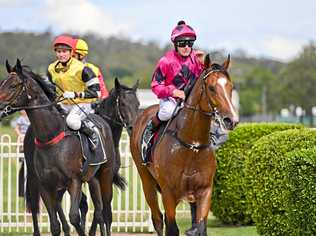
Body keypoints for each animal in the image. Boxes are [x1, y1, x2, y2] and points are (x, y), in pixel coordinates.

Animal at [0, 59, 123, 236]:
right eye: (1, 83)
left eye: (13, 85)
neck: (51, 137)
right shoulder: (46, 186)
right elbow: (55, 224)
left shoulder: (74, 181)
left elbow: (74, 217)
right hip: (90, 179)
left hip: (105, 175)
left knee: (106, 211)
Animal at [130, 54, 238, 235]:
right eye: (211, 88)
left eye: (230, 87)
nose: (231, 120)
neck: (191, 145)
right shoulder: (169, 193)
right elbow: (172, 228)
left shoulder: (204, 191)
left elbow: (200, 227)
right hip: (146, 180)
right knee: (157, 218)